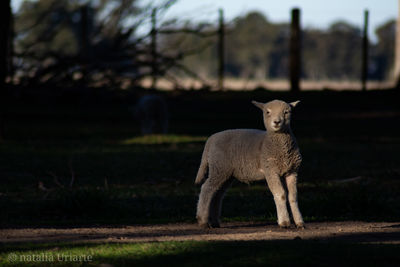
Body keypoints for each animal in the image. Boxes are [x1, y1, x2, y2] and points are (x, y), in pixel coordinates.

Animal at [195, 99, 304, 229]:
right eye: (267, 112)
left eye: (287, 112)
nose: (277, 122)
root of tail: (210, 139)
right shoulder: (270, 170)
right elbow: (281, 194)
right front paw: (284, 222)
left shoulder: (292, 171)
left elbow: (293, 197)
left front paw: (299, 222)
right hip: (219, 167)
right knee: (207, 188)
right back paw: (202, 221)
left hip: (226, 172)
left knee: (217, 193)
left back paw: (215, 222)